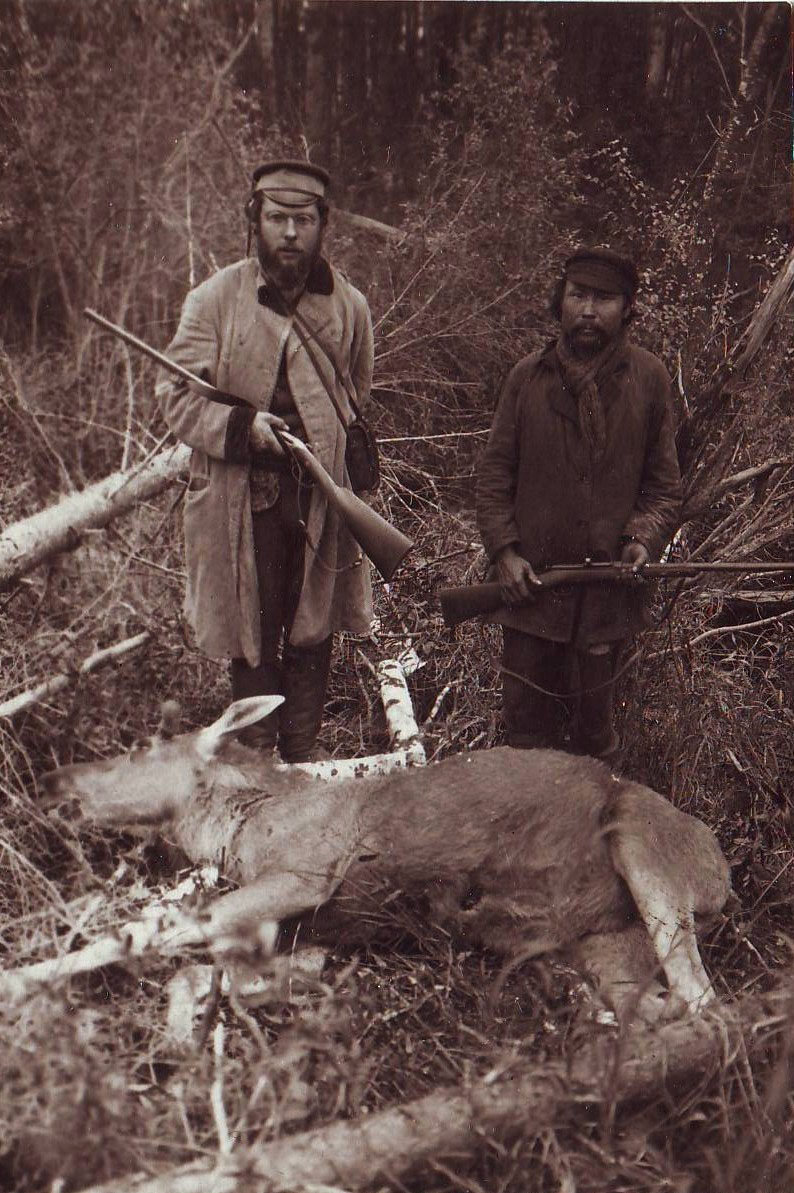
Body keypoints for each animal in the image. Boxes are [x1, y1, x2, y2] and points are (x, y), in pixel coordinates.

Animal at [40, 696, 724, 1025]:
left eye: (140, 751)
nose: (58, 778)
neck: (239, 828)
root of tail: (723, 879)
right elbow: (224, 973)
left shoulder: (306, 872)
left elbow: (161, 936)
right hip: (599, 946)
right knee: (656, 1003)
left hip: (641, 841)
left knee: (703, 998)